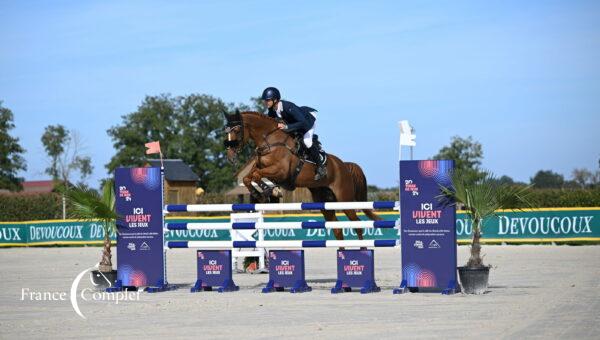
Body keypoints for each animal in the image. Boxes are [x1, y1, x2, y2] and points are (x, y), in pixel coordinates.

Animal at [223, 110, 382, 240]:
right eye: (226, 132)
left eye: (237, 129)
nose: (230, 157)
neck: (270, 141)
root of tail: (345, 166)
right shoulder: (260, 167)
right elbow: (248, 177)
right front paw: (260, 194)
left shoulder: (281, 171)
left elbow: (256, 175)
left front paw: (268, 192)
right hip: (324, 200)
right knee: (337, 229)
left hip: (345, 199)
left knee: (357, 225)